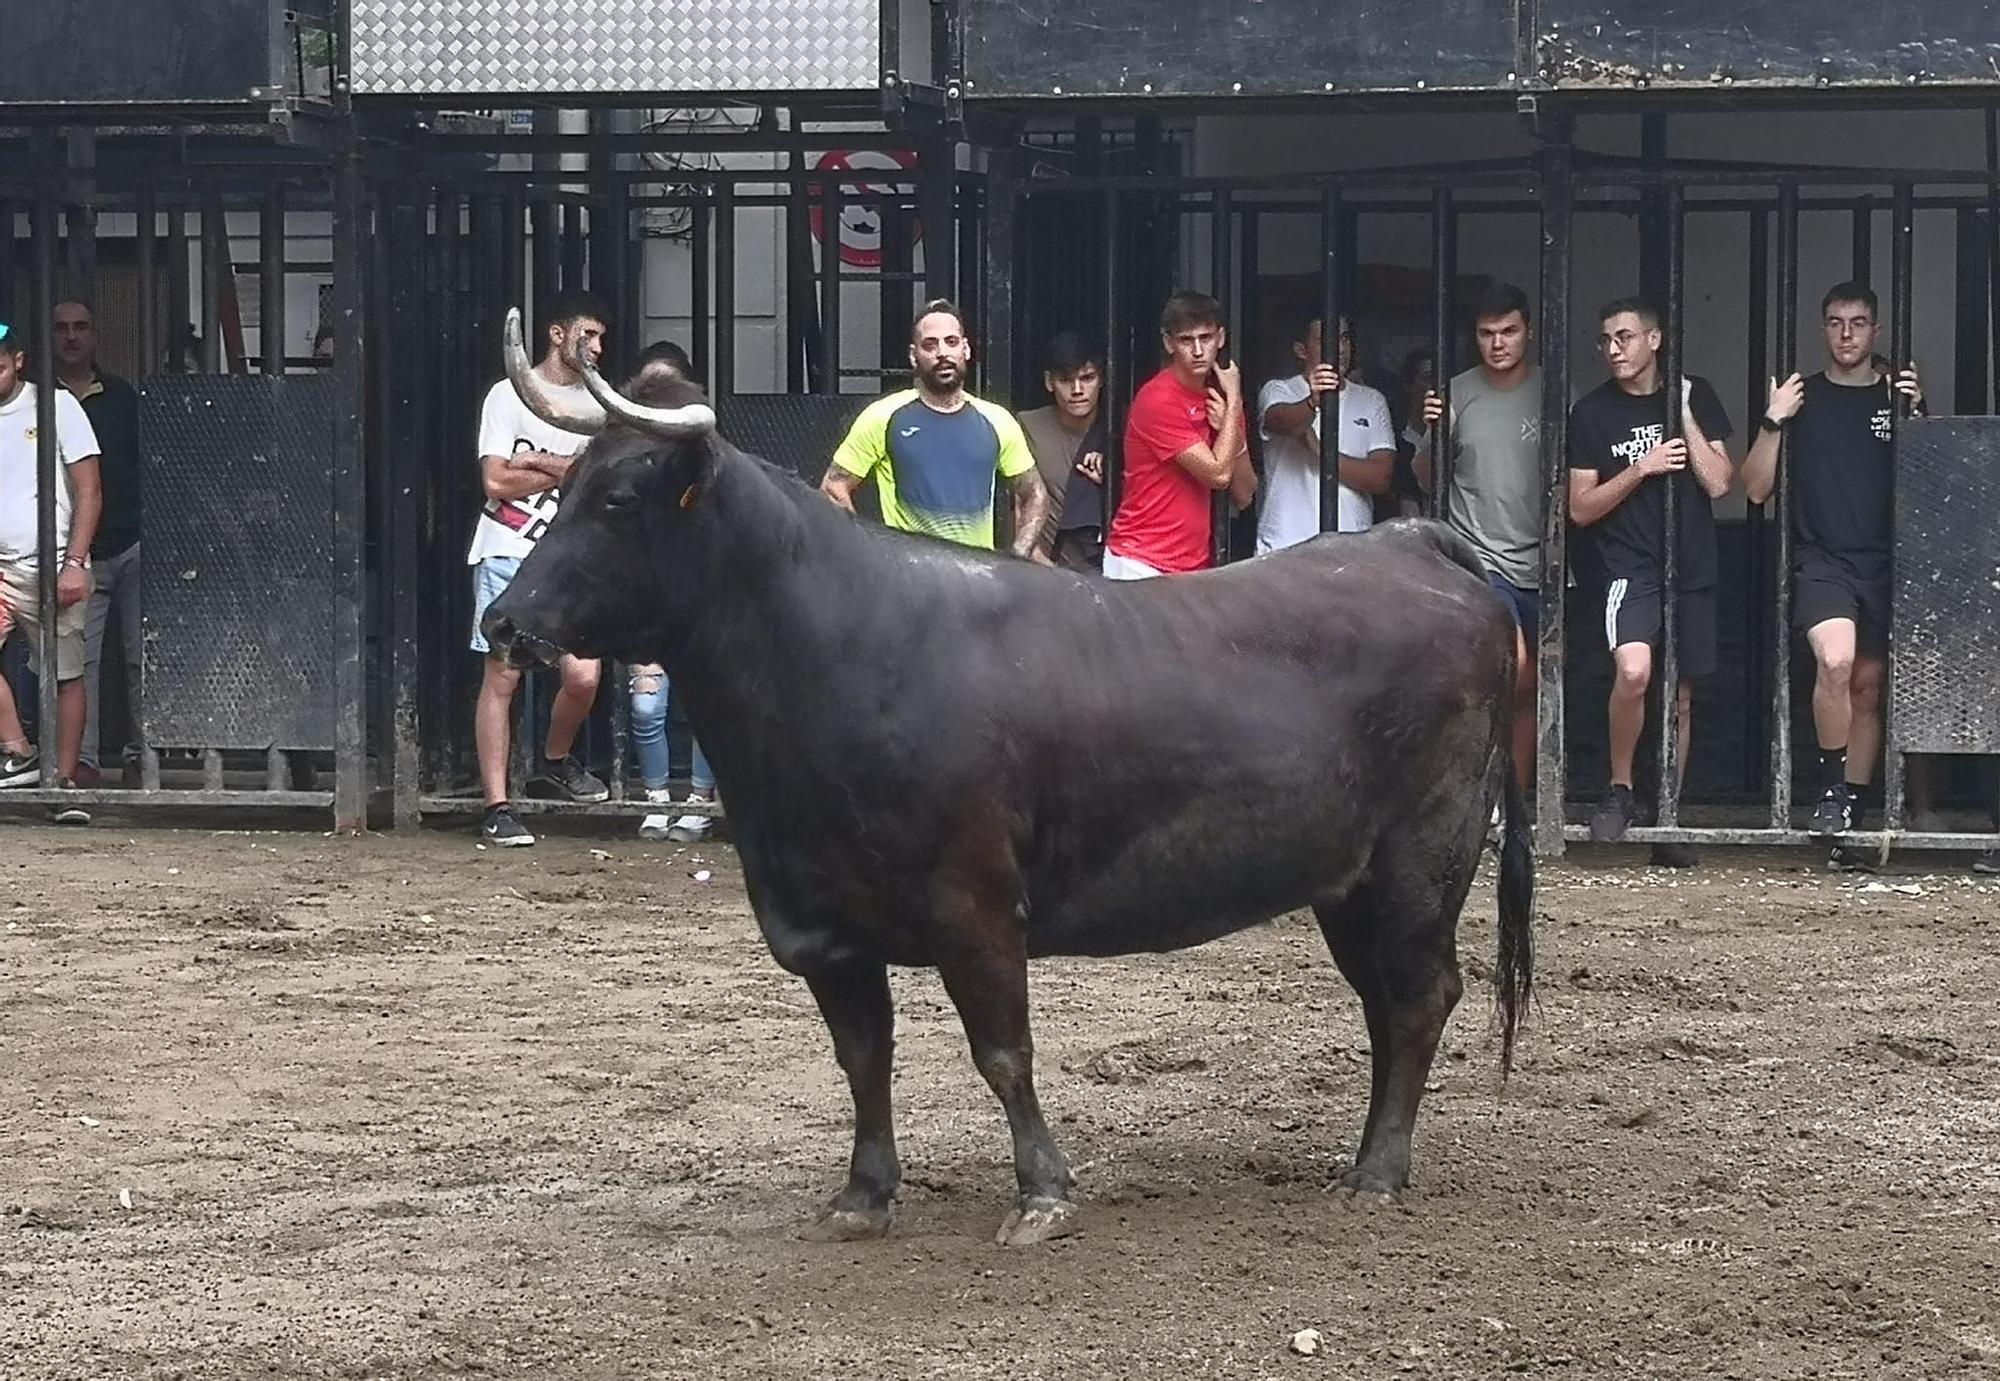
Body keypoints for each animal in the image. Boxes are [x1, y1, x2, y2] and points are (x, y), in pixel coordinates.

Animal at [480, 346, 1528, 1248]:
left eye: (618, 498)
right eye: (560, 486)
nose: (506, 622)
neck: (836, 651)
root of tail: (1409, 540)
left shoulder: (975, 905)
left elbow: (1002, 1051)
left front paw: (1043, 1194)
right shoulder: (820, 925)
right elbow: (863, 1057)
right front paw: (863, 1195)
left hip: (1422, 859)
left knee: (1421, 995)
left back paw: (1377, 1171)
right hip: (1348, 883)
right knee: (1385, 1001)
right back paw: (1370, 1157)